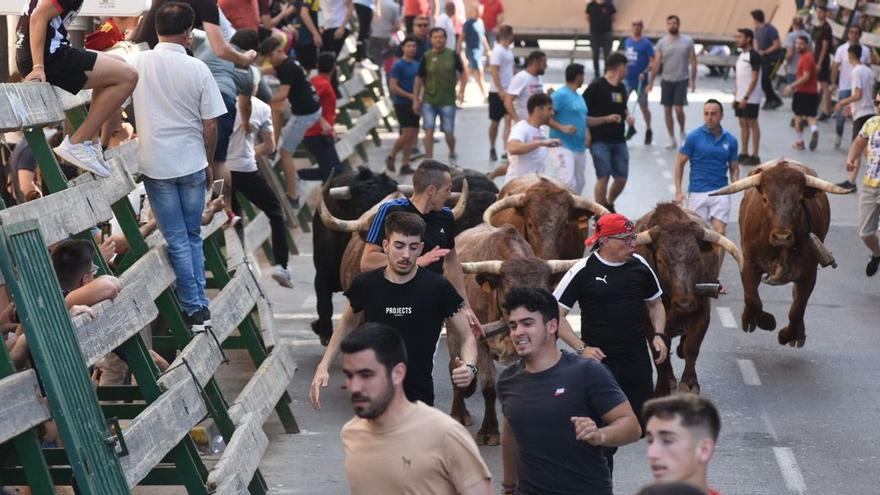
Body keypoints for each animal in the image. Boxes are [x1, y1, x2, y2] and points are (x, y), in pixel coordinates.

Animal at [446, 225, 576, 446]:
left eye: (545, 294)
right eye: (511, 295)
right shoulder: (479, 340)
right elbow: (489, 386)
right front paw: (489, 431)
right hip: (454, 332)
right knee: (454, 367)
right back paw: (459, 413)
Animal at [632, 204, 744, 396]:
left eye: (697, 257)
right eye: (660, 260)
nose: (684, 304)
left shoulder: (702, 313)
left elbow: (691, 347)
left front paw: (690, 383)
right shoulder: (648, 322)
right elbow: (658, 352)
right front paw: (662, 386)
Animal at [712, 161, 848, 346]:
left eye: (800, 199)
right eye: (765, 199)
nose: (782, 236)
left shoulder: (809, 272)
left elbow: (797, 308)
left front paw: (787, 335)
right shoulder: (749, 263)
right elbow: (752, 299)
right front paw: (766, 321)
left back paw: (798, 334)